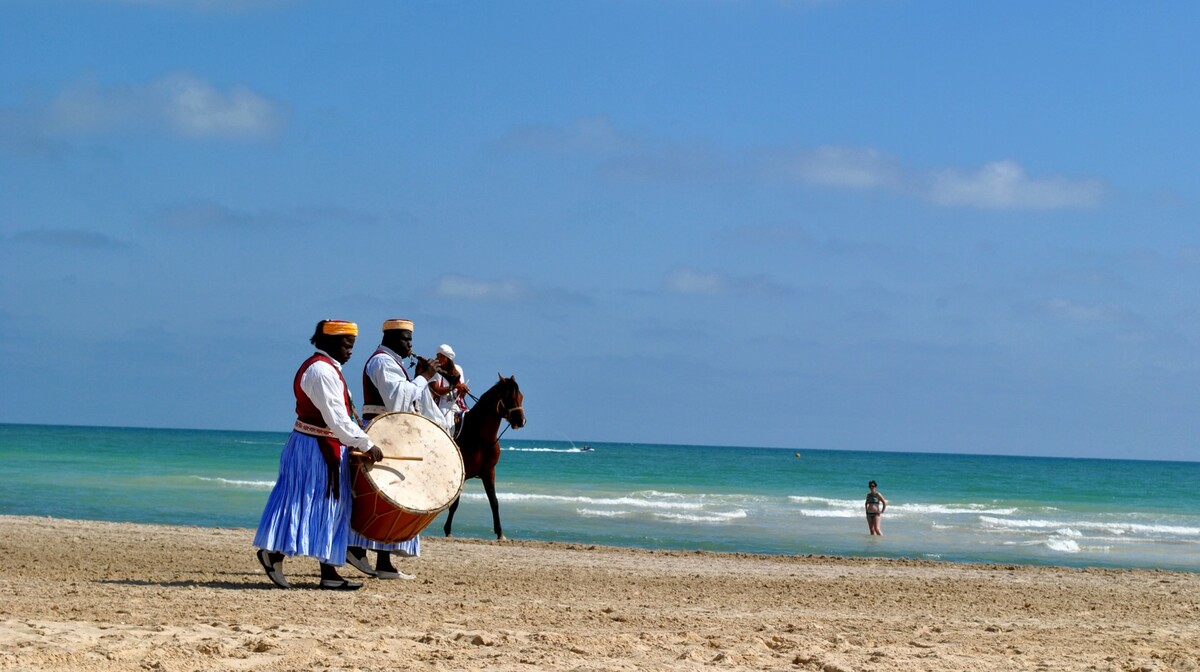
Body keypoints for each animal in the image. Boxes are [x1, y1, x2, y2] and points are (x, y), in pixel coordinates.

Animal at [444, 374, 523, 537]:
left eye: (521, 397)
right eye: (509, 398)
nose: (521, 421)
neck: (478, 436)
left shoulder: (489, 472)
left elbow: (494, 502)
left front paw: (500, 533)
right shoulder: (462, 474)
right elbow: (455, 504)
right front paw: (448, 530)